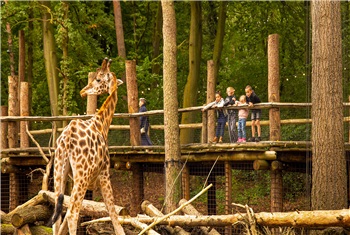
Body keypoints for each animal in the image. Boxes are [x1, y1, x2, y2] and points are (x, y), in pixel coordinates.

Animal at [49, 57, 125, 235]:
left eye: (98, 79)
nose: (83, 91)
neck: (102, 124)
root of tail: (67, 138)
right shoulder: (104, 174)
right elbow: (114, 215)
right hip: (81, 175)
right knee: (72, 214)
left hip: (60, 171)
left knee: (58, 216)